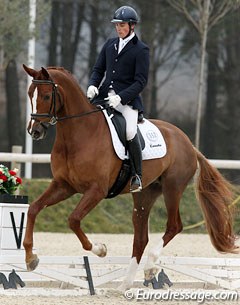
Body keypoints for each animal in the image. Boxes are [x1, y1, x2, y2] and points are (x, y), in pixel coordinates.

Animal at [23, 65, 237, 288]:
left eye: (47, 96)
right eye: (30, 94)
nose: (34, 131)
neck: (77, 135)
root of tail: (189, 144)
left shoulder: (96, 190)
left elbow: (73, 220)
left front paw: (100, 249)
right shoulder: (63, 185)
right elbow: (34, 208)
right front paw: (31, 258)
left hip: (173, 188)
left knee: (174, 226)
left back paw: (150, 267)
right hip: (144, 195)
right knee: (140, 239)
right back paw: (124, 285)